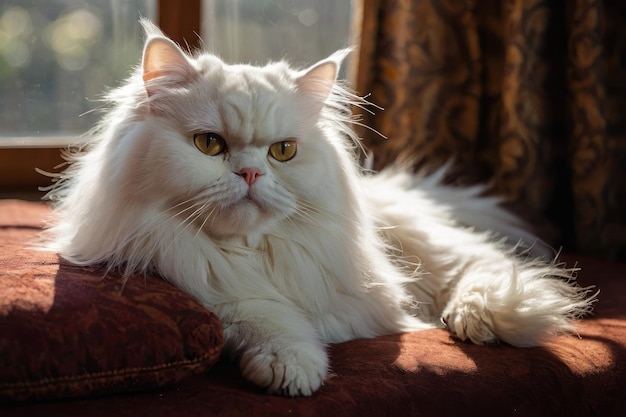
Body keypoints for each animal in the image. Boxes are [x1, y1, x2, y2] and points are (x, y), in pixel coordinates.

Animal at [40, 20, 596, 396]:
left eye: (283, 152)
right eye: (209, 145)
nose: (250, 174)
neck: (255, 253)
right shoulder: (208, 289)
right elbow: (268, 321)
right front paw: (293, 369)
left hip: (419, 244)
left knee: (478, 266)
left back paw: (485, 318)